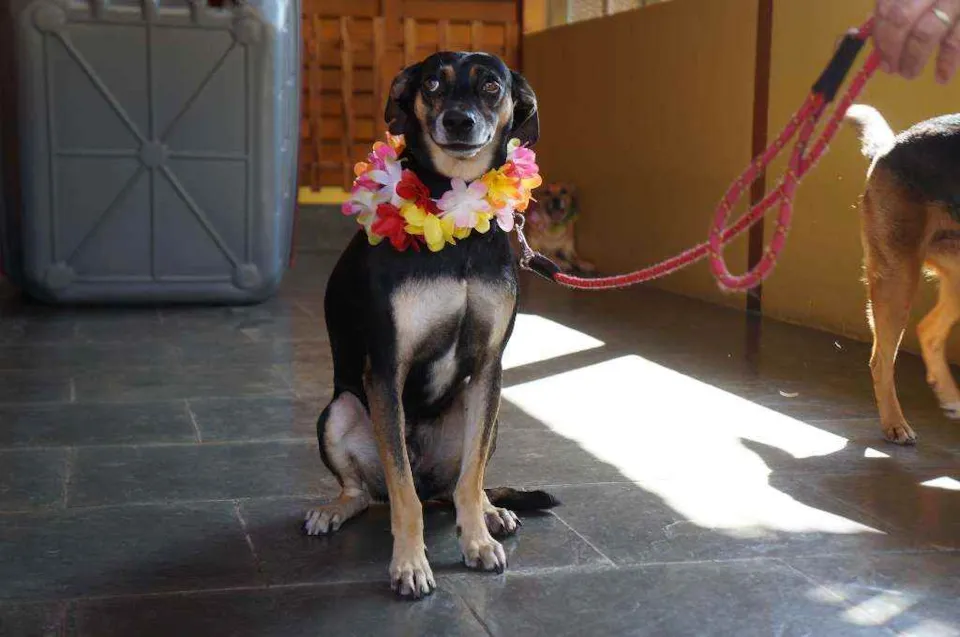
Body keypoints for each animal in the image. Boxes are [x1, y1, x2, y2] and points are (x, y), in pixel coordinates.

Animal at [305, 52, 559, 599]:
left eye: (492, 86)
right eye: (433, 85)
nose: (459, 121)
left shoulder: (488, 369)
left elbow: (471, 476)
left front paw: (477, 540)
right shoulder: (386, 370)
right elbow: (402, 494)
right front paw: (409, 564)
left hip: (486, 412)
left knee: (464, 482)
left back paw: (490, 510)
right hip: (340, 410)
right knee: (371, 491)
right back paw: (335, 510)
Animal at [845, 104, 960, 445]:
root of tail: (889, 147)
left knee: (929, 330)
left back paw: (951, 399)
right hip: (897, 279)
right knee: (881, 360)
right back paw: (895, 423)